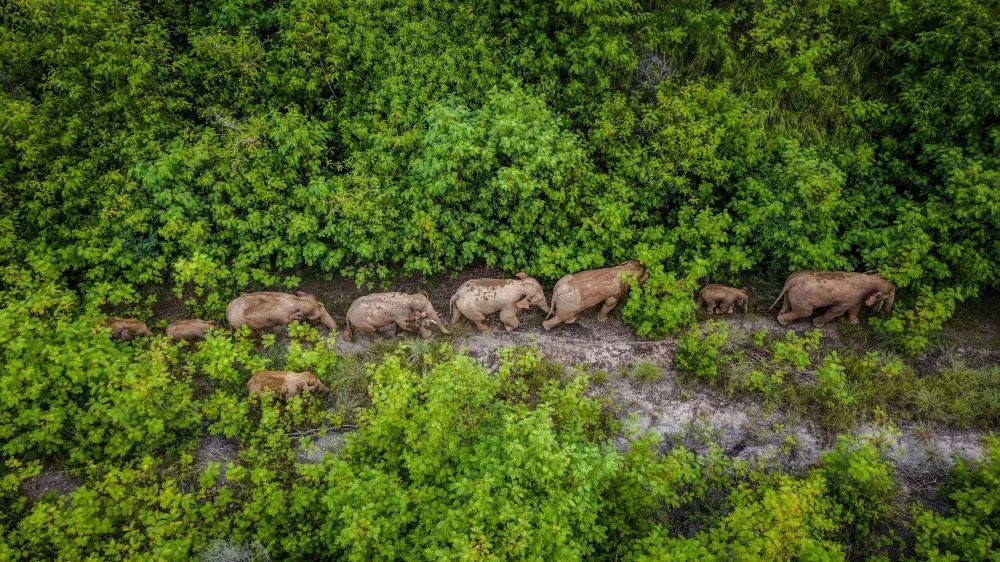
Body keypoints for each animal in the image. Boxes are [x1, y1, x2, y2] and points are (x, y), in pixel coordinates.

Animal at [768, 270, 896, 326]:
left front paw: (854, 323)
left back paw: (784, 320)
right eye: (887, 296)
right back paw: (783, 323)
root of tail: (791, 281)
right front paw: (817, 324)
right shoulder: (850, 298)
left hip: (791, 294)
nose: (884, 314)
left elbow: (854, 308)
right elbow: (838, 311)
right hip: (801, 299)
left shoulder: (857, 297)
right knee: (806, 312)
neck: (870, 279)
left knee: (786, 304)